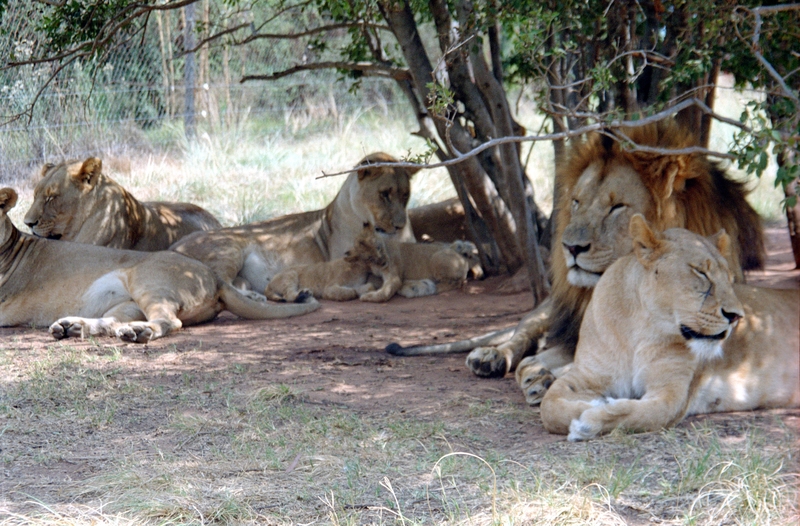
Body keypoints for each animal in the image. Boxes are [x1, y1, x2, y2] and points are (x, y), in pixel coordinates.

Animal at [0, 188, 318, 344]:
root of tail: (214, 277)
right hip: (127, 303)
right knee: (111, 322)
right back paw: (72, 327)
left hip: (146, 280)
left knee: (170, 321)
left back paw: (139, 333)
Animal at [169, 153, 418, 294]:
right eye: (385, 194)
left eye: (405, 195)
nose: (399, 224)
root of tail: (173, 246)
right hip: (229, 248)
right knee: (223, 285)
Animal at [390, 120, 764, 408]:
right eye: (577, 202)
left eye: (617, 207)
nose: (569, 246)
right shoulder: (572, 338)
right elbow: (539, 357)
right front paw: (538, 375)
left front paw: (543, 378)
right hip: (547, 310)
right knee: (520, 335)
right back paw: (490, 357)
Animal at [540, 217, 796, 444]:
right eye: (701, 272)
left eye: (731, 280)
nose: (736, 316)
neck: (639, 329)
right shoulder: (587, 374)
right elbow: (549, 406)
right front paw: (590, 405)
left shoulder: (671, 393)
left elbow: (639, 414)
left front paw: (590, 422)